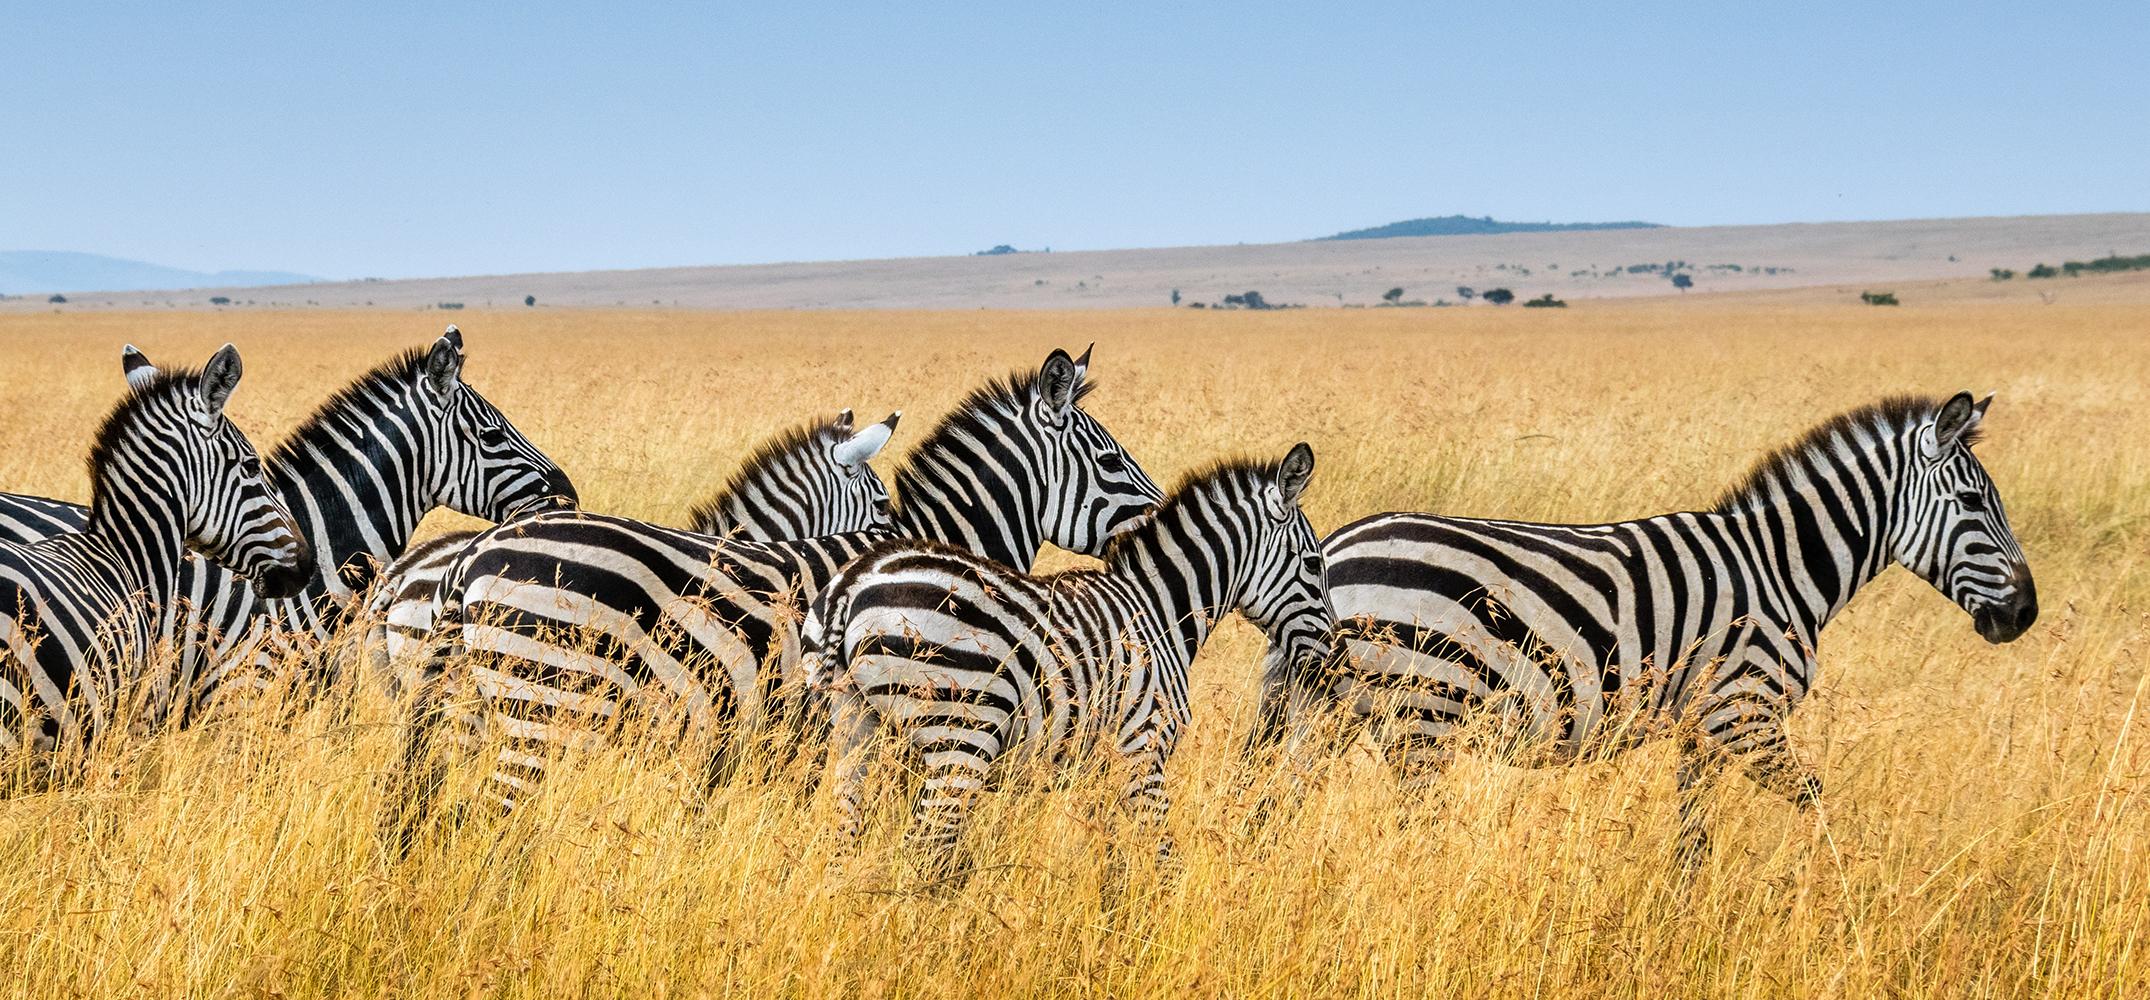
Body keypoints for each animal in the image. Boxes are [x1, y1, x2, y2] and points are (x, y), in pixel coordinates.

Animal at [810, 444, 1329, 874]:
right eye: (1312, 564)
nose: (1331, 656)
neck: (1159, 610)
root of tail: (854, 582)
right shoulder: (1144, 749)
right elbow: (1162, 855)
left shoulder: (1101, 765)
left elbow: (1114, 857)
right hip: (960, 737)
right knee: (926, 848)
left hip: (855, 727)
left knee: (844, 841)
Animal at [1251, 392, 2037, 865]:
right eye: (1975, 503)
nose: (2025, 614)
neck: (1782, 567)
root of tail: (1335, 549)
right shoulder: (1743, 713)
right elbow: (1815, 800)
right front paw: (1840, 892)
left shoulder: (1703, 728)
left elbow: (1694, 836)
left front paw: (1683, 914)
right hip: (1422, 714)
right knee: (1410, 828)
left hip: (1328, 713)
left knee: (1274, 807)